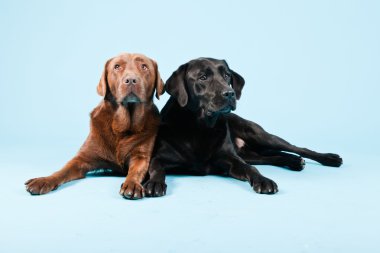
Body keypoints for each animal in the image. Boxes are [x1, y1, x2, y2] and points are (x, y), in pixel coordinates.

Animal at [24, 52, 164, 200]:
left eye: (144, 66)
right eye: (117, 66)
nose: (131, 80)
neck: (121, 128)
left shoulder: (141, 157)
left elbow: (135, 171)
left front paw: (132, 184)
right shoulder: (82, 158)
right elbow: (62, 171)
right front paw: (44, 180)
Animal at [144, 58, 342, 197]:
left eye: (227, 76)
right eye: (203, 77)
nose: (230, 93)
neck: (200, 127)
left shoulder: (232, 160)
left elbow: (250, 169)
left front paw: (264, 181)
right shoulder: (159, 157)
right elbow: (156, 168)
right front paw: (154, 184)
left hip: (260, 135)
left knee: (296, 148)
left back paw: (329, 158)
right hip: (251, 153)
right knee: (273, 156)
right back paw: (294, 161)